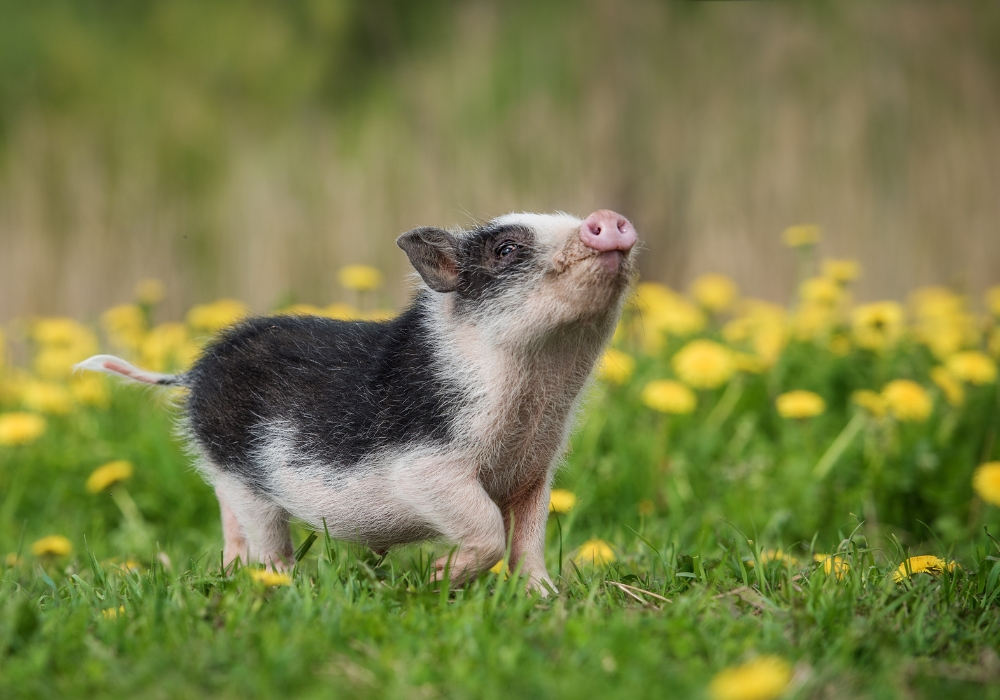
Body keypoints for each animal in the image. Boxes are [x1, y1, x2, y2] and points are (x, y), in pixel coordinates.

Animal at [77, 209, 638, 594]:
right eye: (505, 249)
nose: (607, 219)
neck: (539, 392)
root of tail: (196, 371)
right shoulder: (426, 466)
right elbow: (487, 529)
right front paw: (436, 579)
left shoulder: (535, 471)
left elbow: (528, 540)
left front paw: (546, 599)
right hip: (238, 468)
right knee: (264, 535)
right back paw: (282, 585)